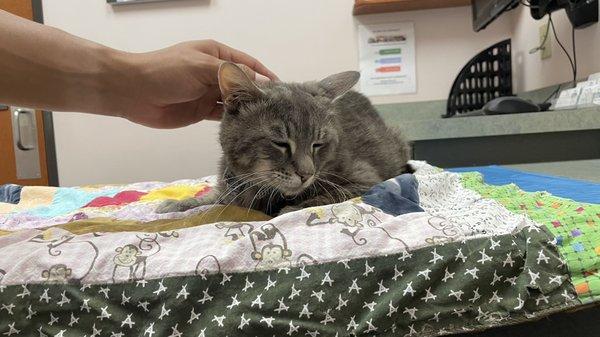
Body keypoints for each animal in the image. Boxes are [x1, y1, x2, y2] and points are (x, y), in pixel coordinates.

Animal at [157, 63, 412, 215]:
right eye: (280, 143)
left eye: (318, 144)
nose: (306, 174)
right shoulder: (231, 190)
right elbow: (213, 196)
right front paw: (181, 202)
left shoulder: (364, 179)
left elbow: (324, 196)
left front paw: (289, 210)